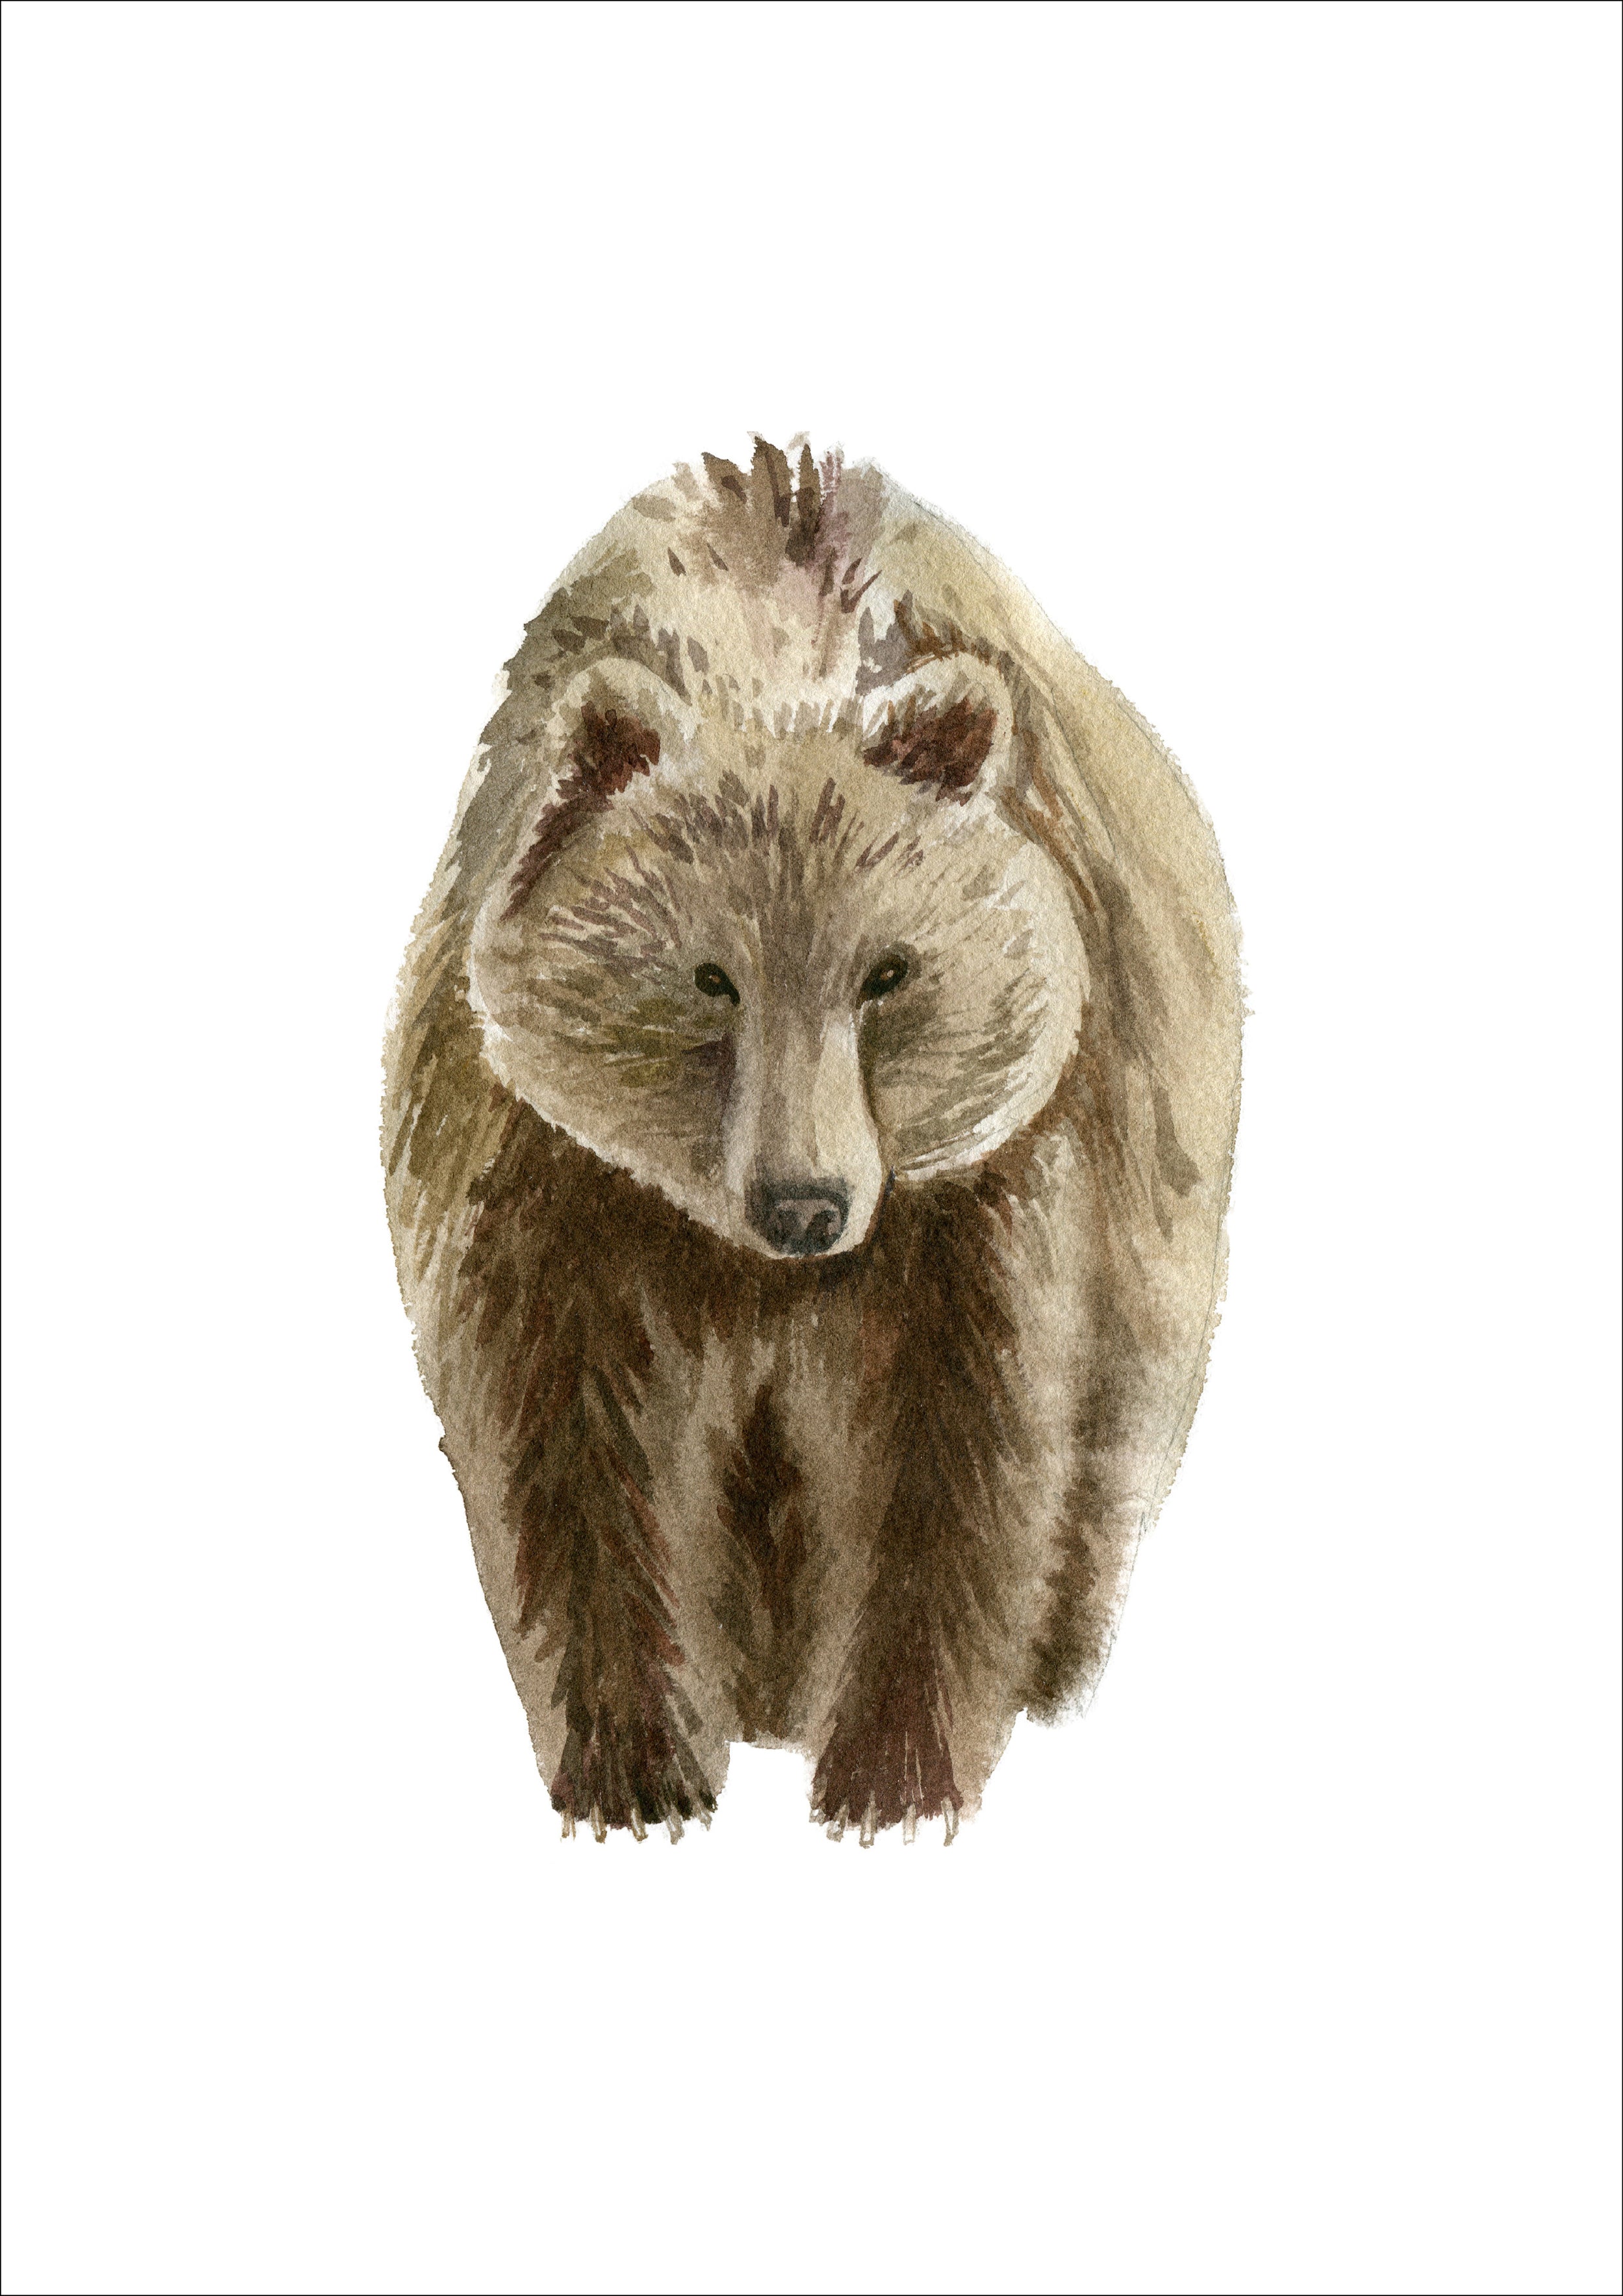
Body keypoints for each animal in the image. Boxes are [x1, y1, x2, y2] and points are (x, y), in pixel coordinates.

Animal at [383, 437, 1241, 1844]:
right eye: (708, 977)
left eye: (888, 971)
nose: (804, 1202)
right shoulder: (550, 1179)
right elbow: (570, 1449)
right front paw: (636, 1771)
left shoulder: (981, 1197)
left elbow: (952, 1462)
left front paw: (892, 1777)